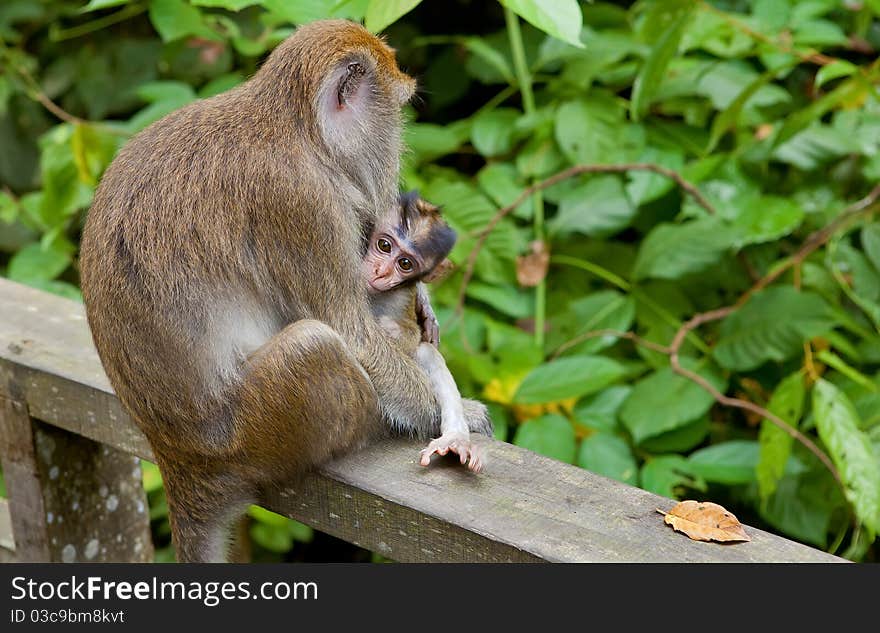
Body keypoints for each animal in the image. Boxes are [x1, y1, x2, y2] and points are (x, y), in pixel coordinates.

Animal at [364, 190, 488, 472]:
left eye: (405, 263)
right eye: (384, 246)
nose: (380, 272)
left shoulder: (400, 296)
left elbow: (413, 338)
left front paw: (392, 329)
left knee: (425, 353)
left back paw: (455, 438)